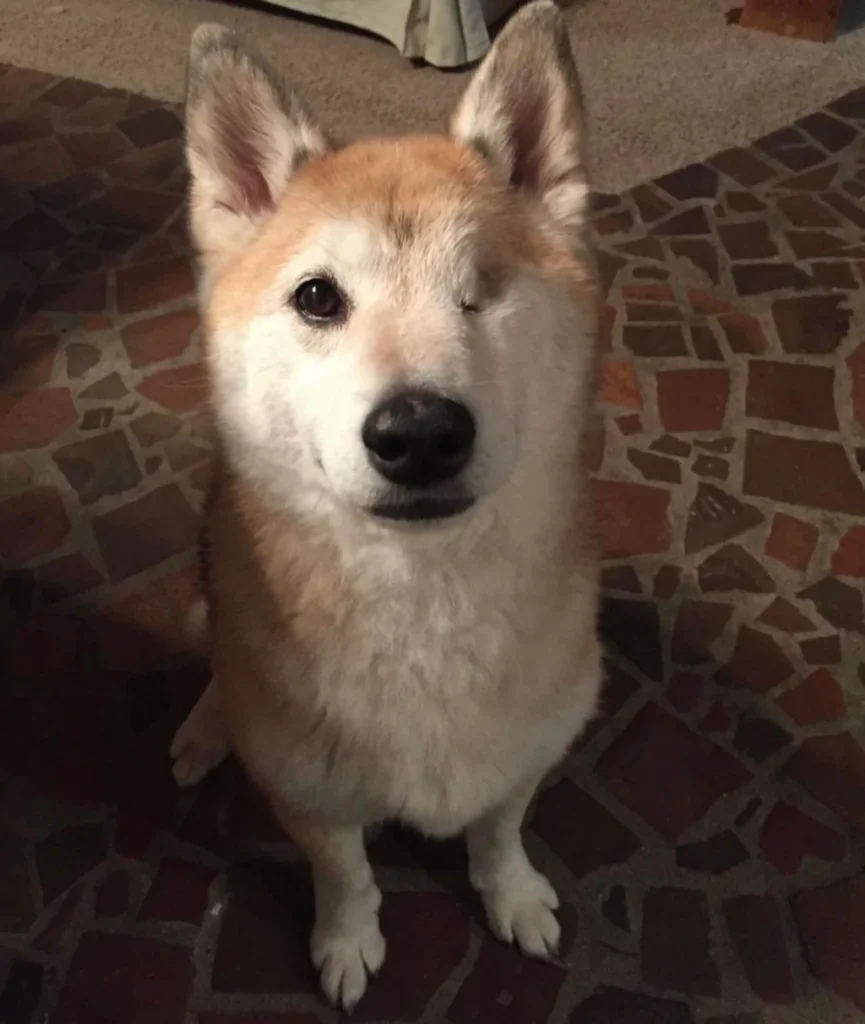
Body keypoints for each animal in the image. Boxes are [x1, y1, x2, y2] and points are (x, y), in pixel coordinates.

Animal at [168, 0, 601, 1007]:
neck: (422, 605)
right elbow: (346, 874)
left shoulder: (533, 743)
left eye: (482, 292)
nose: (420, 433)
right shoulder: (309, 792)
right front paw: (346, 938)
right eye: (318, 298)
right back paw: (206, 726)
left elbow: (499, 829)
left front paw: (511, 895)